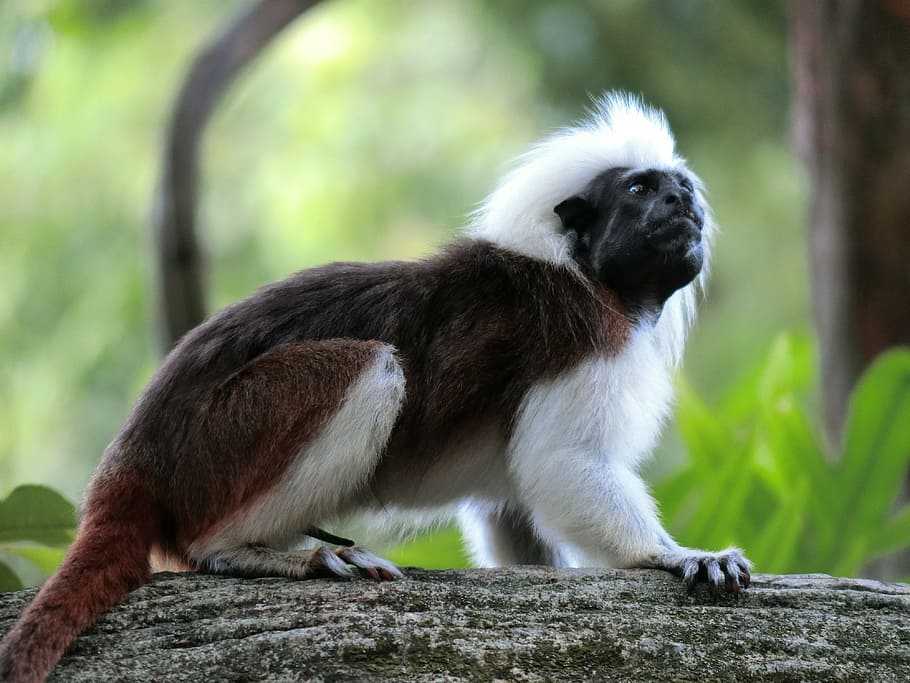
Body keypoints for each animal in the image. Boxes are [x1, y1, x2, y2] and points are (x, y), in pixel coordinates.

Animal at [0, 92, 751, 682]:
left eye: (680, 189)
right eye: (641, 191)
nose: (682, 201)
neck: (600, 281)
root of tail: (135, 457)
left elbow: (516, 506)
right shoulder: (581, 332)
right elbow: (562, 463)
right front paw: (679, 554)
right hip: (220, 438)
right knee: (370, 367)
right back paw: (254, 551)